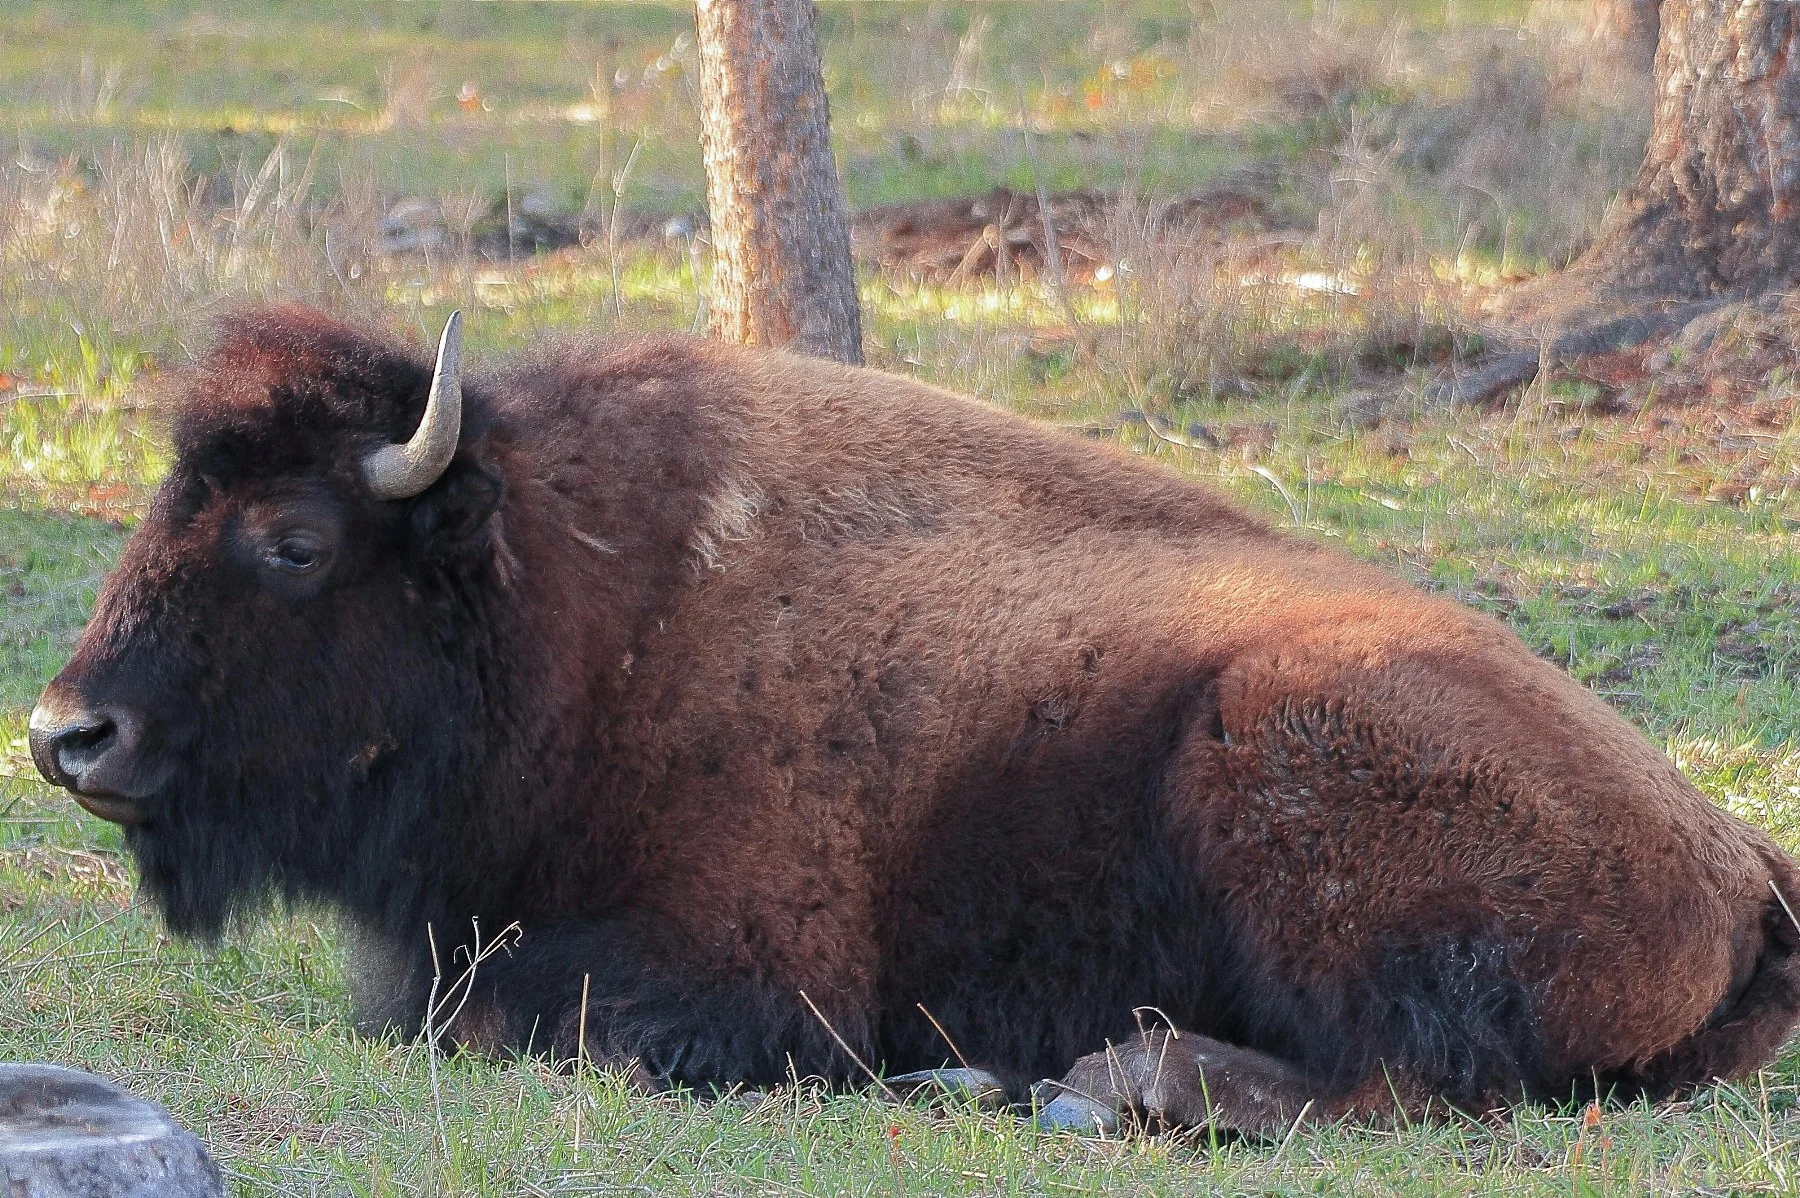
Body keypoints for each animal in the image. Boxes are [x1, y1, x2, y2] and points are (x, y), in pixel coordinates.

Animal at [28, 305, 1800, 1134]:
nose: (65, 735)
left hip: (1267, 752)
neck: (571, 604)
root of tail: (1737, 864)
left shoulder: (744, 976)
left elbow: (508, 1020)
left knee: (1406, 1075)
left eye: (293, 539)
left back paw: (1100, 1081)